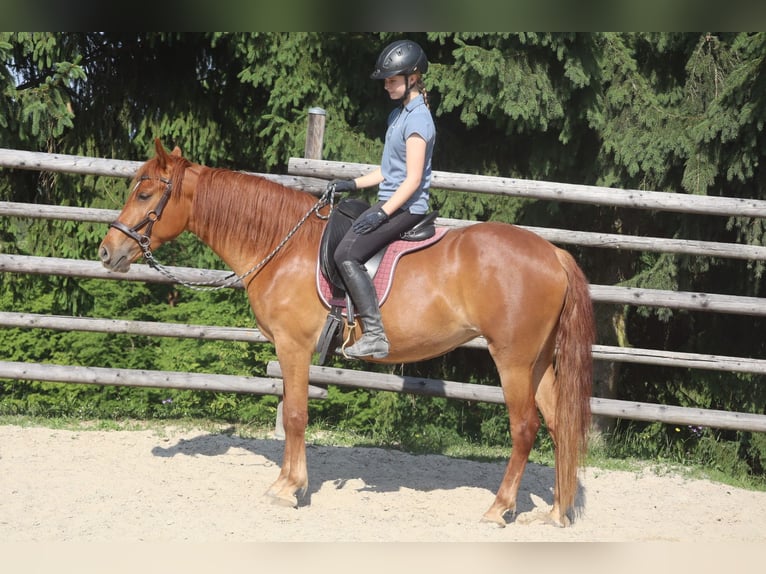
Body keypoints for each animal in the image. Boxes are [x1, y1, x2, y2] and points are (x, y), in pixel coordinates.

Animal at [98, 138, 596, 527]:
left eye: (145, 193)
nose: (107, 251)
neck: (284, 245)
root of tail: (553, 254)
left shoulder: (293, 347)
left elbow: (296, 416)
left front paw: (288, 489)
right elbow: (293, 413)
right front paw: (289, 484)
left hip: (512, 359)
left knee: (525, 428)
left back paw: (499, 508)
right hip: (538, 362)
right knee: (559, 424)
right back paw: (555, 512)